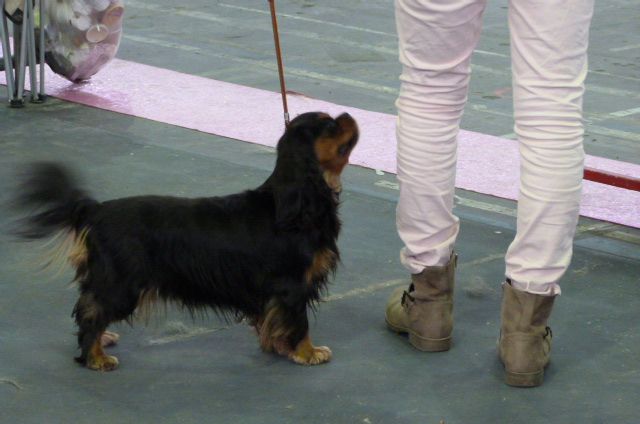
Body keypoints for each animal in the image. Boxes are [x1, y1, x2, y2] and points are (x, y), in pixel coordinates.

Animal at [15, 112, 358, 372]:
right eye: (330, 125)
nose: (347, 114)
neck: (297, 202)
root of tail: (96, 209)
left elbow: (273, 322)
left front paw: (279, 346)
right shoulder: (292, 285)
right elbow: (299, 322)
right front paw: (308, 352)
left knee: (88, 305)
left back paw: (103, 341)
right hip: (123, 285)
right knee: (91, 314)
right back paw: (96, 357)